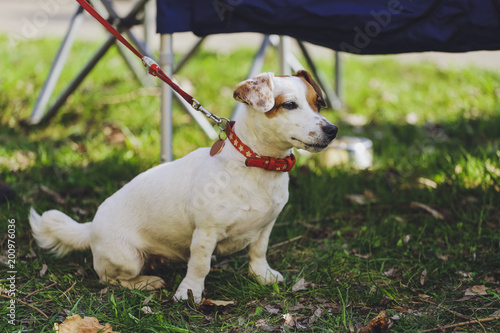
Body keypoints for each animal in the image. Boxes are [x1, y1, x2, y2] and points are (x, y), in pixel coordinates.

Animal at [29, 69, 338, 300]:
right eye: (289, 105)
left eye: (318, 103)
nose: (332, 130)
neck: (257, 165)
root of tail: (90, 228)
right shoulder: (205, 232)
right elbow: (199, 265)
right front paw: (189, 294)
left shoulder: (266, 226)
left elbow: (258, 252)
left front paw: (262, 276)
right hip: (127, 258)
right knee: (110, 279)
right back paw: (147, 282)